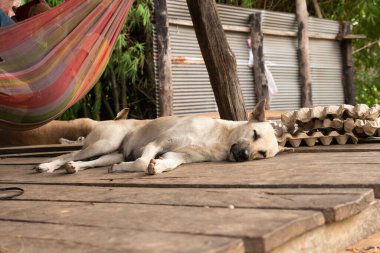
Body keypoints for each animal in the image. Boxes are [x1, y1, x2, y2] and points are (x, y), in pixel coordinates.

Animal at [35, 100, 280, 175]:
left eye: (262, 153)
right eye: (254, 133)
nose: (244, 155)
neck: (219, 140)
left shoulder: (178, 155)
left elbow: (169, 163)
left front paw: (159, 167)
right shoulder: (160, 142)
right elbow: (142, 162)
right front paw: (141, 166)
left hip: (112, 153)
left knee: (90, 162)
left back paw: (75, 167)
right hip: (105, 143)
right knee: (69, 153)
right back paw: (47, 165)